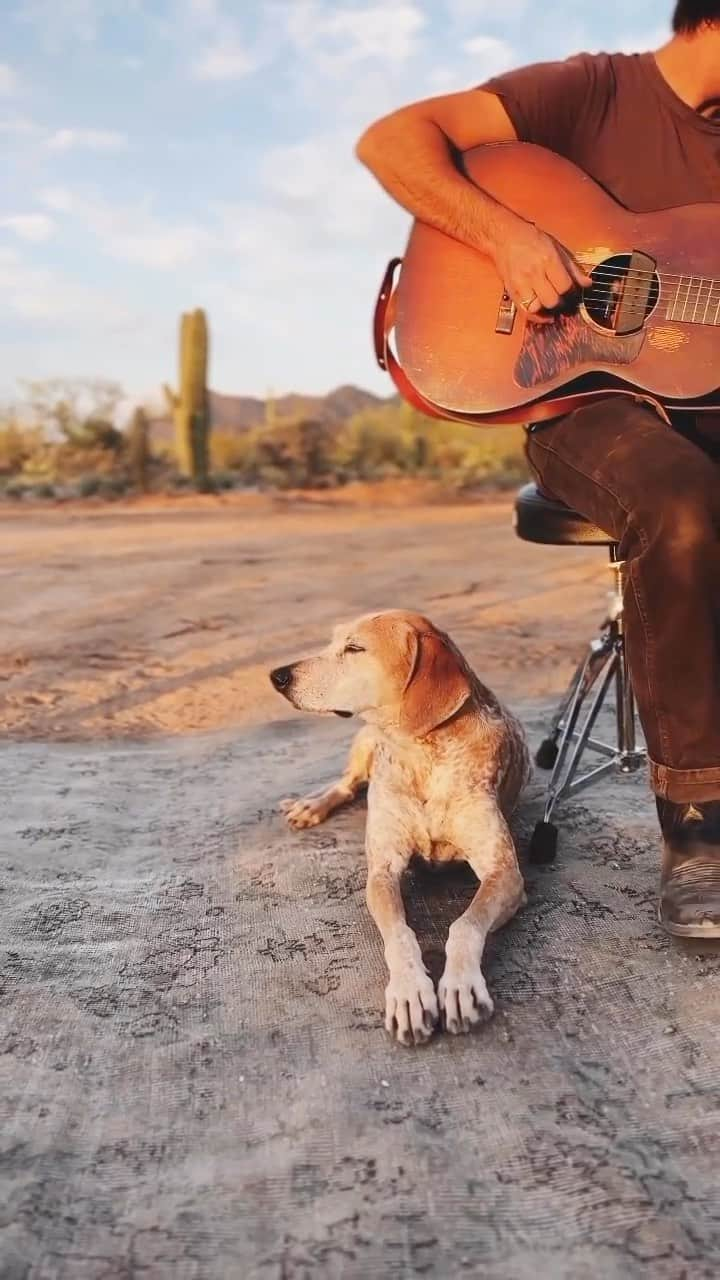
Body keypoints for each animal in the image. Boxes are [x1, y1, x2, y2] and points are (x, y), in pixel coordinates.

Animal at [269, 611, 527, 1049]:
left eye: (354, 648)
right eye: (333, 640)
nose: (277, 675)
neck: (421, 755)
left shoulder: (505, 873)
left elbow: (464, 925)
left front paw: (460, 985)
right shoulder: (382, 870)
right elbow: (400, 936)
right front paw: (409, 993)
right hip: (363, 743)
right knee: (347, 782)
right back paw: (311, 805)